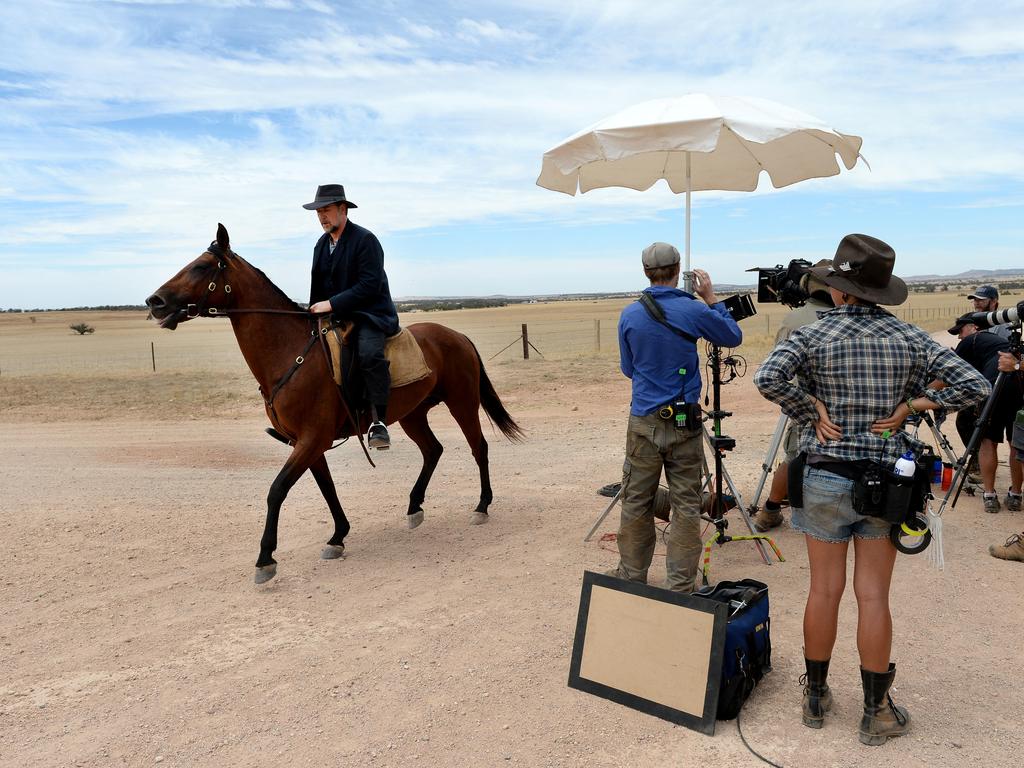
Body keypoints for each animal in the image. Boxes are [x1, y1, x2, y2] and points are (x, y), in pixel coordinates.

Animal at [146, 225, 520, 585]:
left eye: (201, 266)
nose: (154, 301)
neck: (291, 353)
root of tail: (457, 335)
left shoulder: (312, 439)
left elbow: (277, 490)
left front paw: (266, 559)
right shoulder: (307, 442)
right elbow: (326, 488)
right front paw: (338, 536)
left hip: (462, 403)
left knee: (479, 447)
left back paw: (482, 506)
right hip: (413, 415)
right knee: (433, 450)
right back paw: (414, 507)